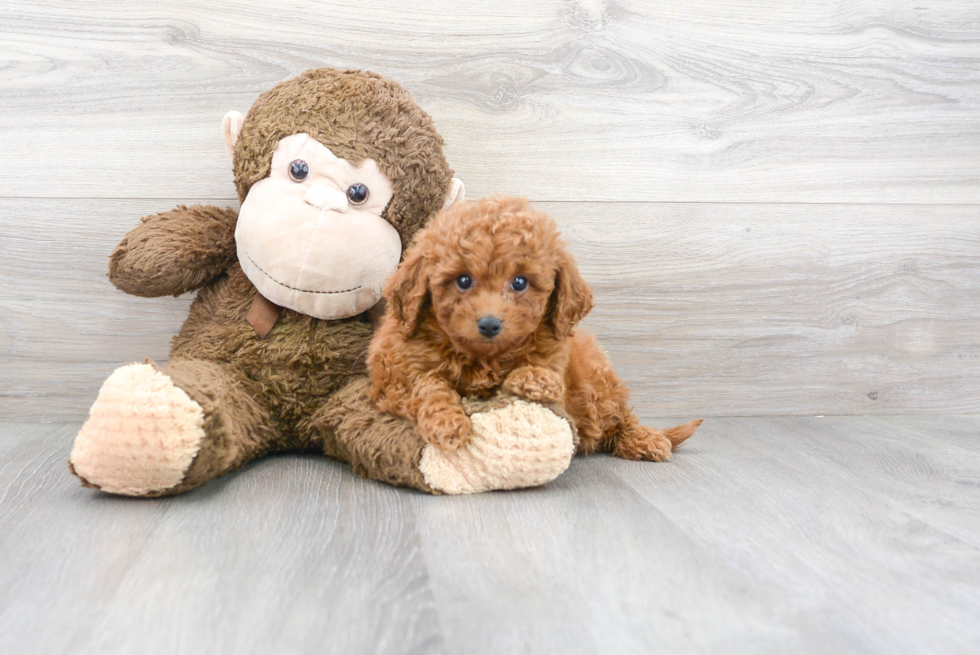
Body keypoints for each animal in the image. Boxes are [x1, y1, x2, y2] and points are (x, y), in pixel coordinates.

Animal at [364, 197, 700, 458]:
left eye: (520, 282)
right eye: (463, 280)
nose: (489, 323)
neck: (482, 358)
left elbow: (539, 373)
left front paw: (534, 378)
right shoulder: (397, 380)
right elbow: (430, 387)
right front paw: (448, 424)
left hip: (600, 385)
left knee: (619, 418)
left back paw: (645, 439)